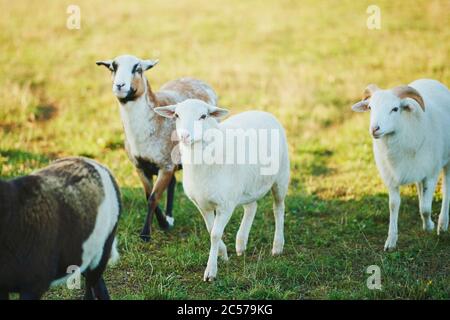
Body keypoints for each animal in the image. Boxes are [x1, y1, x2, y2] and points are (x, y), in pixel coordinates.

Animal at [155, 99, 290, 280]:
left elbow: (215, 234)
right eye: (177, 115)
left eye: (203, 116)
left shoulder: (226, 205)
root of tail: (264, 112)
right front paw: (223, 253)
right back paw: (241, 243)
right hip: (247, 185)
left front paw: (211, 270)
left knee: (279, 208)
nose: (184, 136)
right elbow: (210, 229)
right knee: (252, 207)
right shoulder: (202, 204)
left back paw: (277, 246)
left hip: (281, 177)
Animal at [352, 79, 450, 251]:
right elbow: (393, 205)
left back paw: (442, 224)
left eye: (395, 108)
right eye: (370, 107)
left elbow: (426, 208)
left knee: (446, 187)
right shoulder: (390, 178)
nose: (374, 129)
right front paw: (391, 241)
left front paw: (430, 226)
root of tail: (429, 79)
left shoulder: (431, 173)